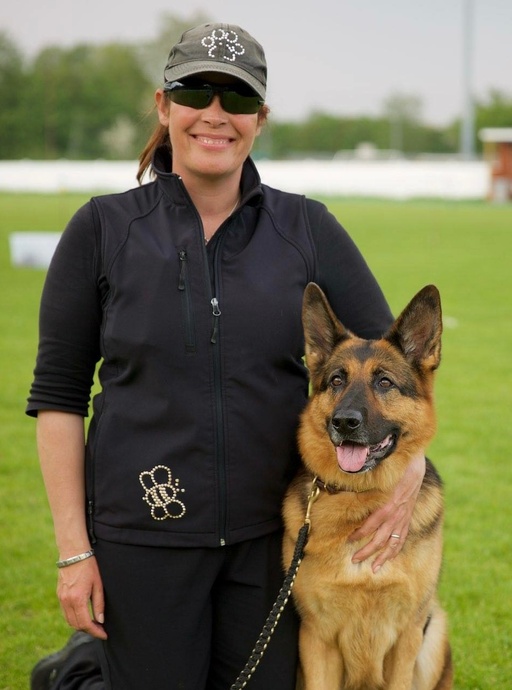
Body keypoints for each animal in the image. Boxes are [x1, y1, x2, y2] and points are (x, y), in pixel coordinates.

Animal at [282, 282, 454, 684]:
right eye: (337, 380)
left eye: (384, 382)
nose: (344, 422)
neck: (361, 497)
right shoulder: (316, 638)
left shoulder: (407, 637)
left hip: (435, 632)